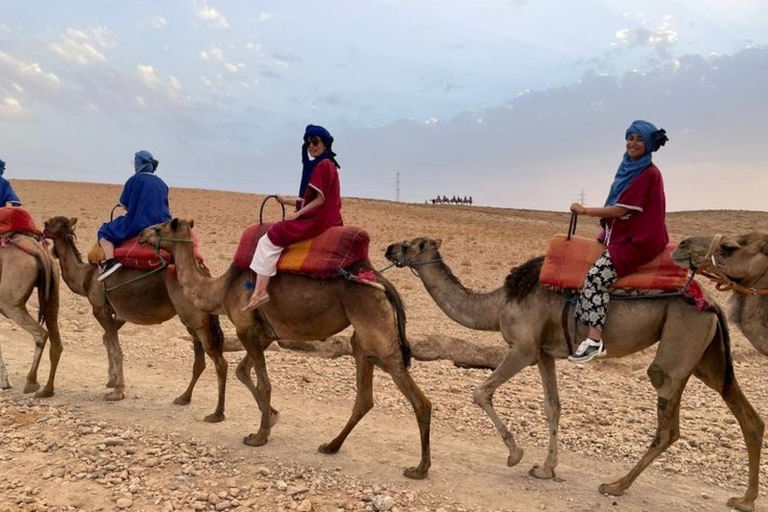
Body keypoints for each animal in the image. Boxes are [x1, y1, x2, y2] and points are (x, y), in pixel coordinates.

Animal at [0, 232, 61, 396]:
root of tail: (40, 252)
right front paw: (5, 383)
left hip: (9, 302)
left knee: (41, 333)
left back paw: (31, 382)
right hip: (53, 292)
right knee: (56, 342)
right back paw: (47, 390)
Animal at [43, 216, 230, 420]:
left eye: (50, 223)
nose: (42, 229)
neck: (86, 277)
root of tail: (204, 276)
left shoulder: (100, 309)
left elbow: (116, 349)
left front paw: (117, 391)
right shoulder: (120, 312)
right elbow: (107, 340)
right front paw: (112, 379)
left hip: (195, 319)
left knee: (219, 361)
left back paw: (217, 413)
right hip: (193, 321)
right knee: (200, 360)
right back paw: (184, 398)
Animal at [137, 219, 432, 480]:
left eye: (159, 227)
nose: (140, 235)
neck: (221, 289)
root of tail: (383, 283)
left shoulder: (246, 330)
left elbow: (264, 383)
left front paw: (258, 435)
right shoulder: (265, 333)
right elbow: (243, 372)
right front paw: (271, 417)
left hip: (377, 329)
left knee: (419, 399)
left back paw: (419, 469)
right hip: (363, 340)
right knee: (364, 397)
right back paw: (331, 446)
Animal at [388, 238, 764, 510]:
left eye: (413, 244)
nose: (389, 248)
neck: (497, 305)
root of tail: (711, 302)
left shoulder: (523, 349)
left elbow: (481, 392)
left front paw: (515, 454)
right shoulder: (544, 353)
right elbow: (553, 406)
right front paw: (545, 468)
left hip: (677, 347)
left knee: (668, 426)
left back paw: (616, 485)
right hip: (707, 359)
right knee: (747, 416)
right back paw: (744, 500)